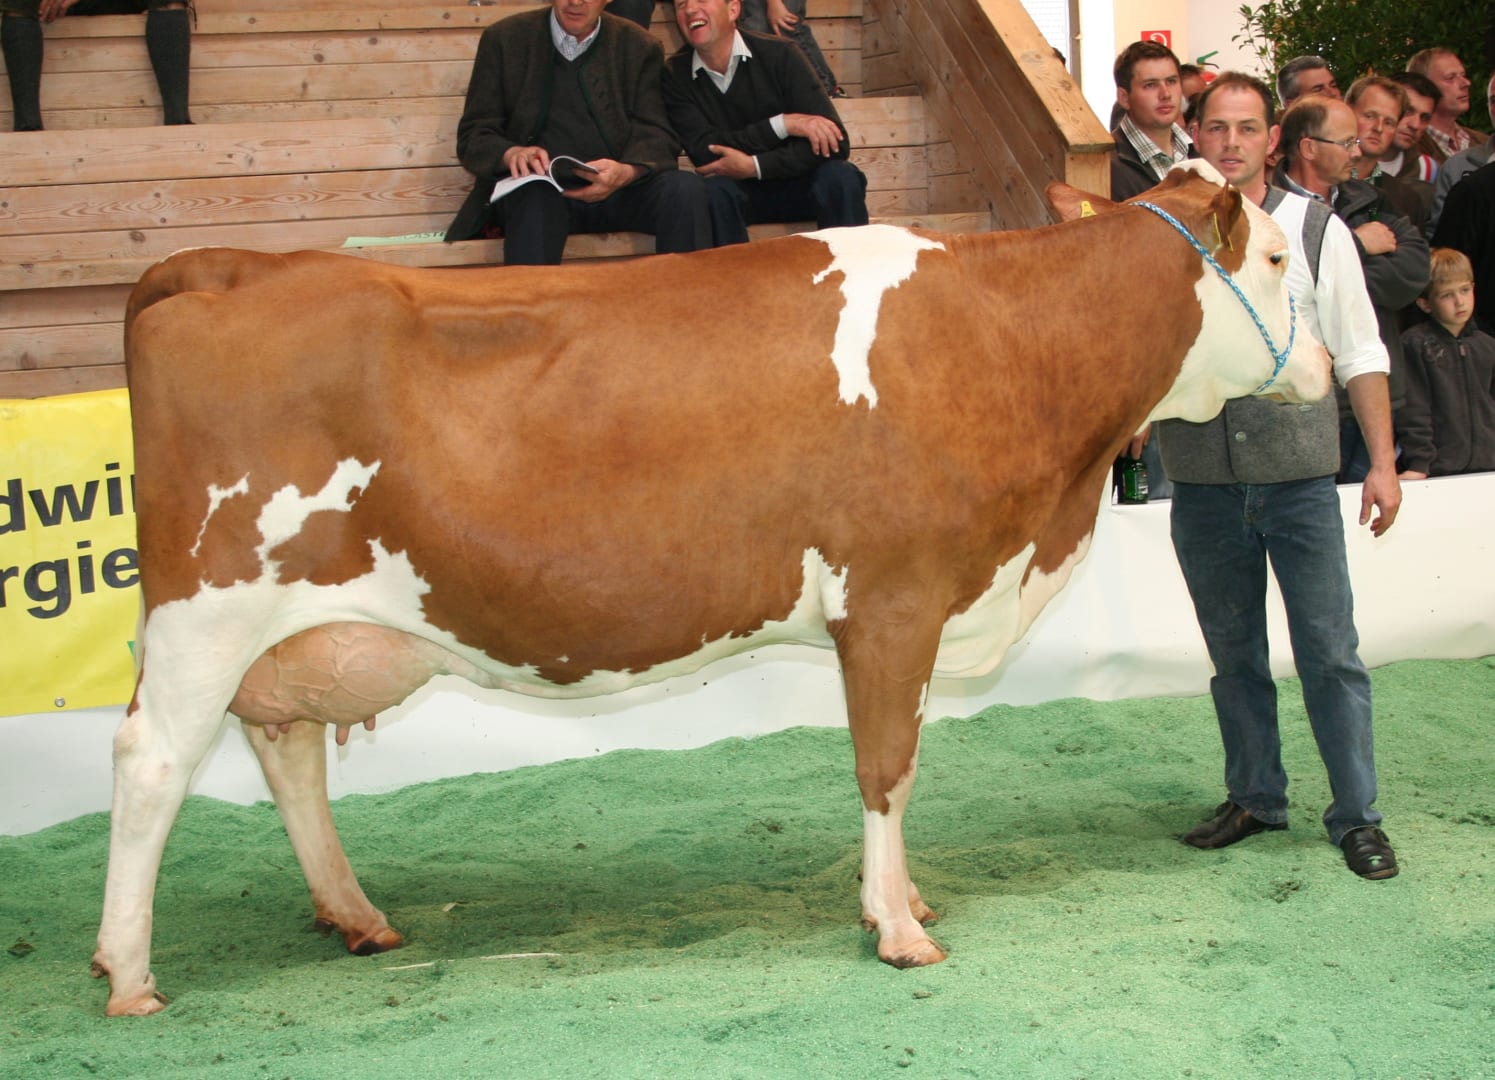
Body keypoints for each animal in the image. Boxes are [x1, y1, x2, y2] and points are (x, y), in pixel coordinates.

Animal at [92, 161, 1329, 1015]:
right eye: (1275, 258)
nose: (1322, 370)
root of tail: (232, 265)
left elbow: (901, 765)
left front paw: (908, 898)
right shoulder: (891, 599)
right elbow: (888, 767)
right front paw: (898, 927)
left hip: (285, 628)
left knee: (286, 751)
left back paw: (355, 916)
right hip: (209, 607)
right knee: (152, 764)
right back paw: (128, 971)